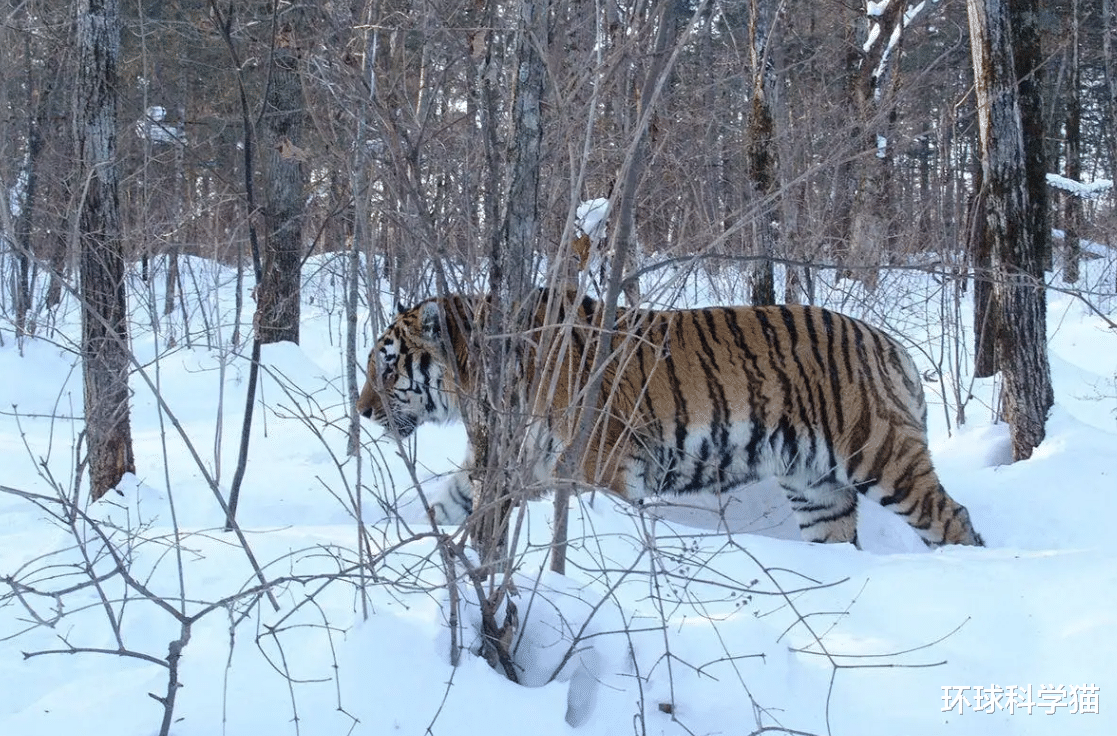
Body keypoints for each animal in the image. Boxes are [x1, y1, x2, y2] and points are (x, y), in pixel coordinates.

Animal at [352, 288, 982, 547]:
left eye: (387, 364)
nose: (361, 412)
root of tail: (891, 345)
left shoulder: (599, 469)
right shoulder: (509, 463)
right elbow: (448, 503)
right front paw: (398, 537)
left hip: (878, 452)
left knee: (953, 518)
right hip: (816, 486)